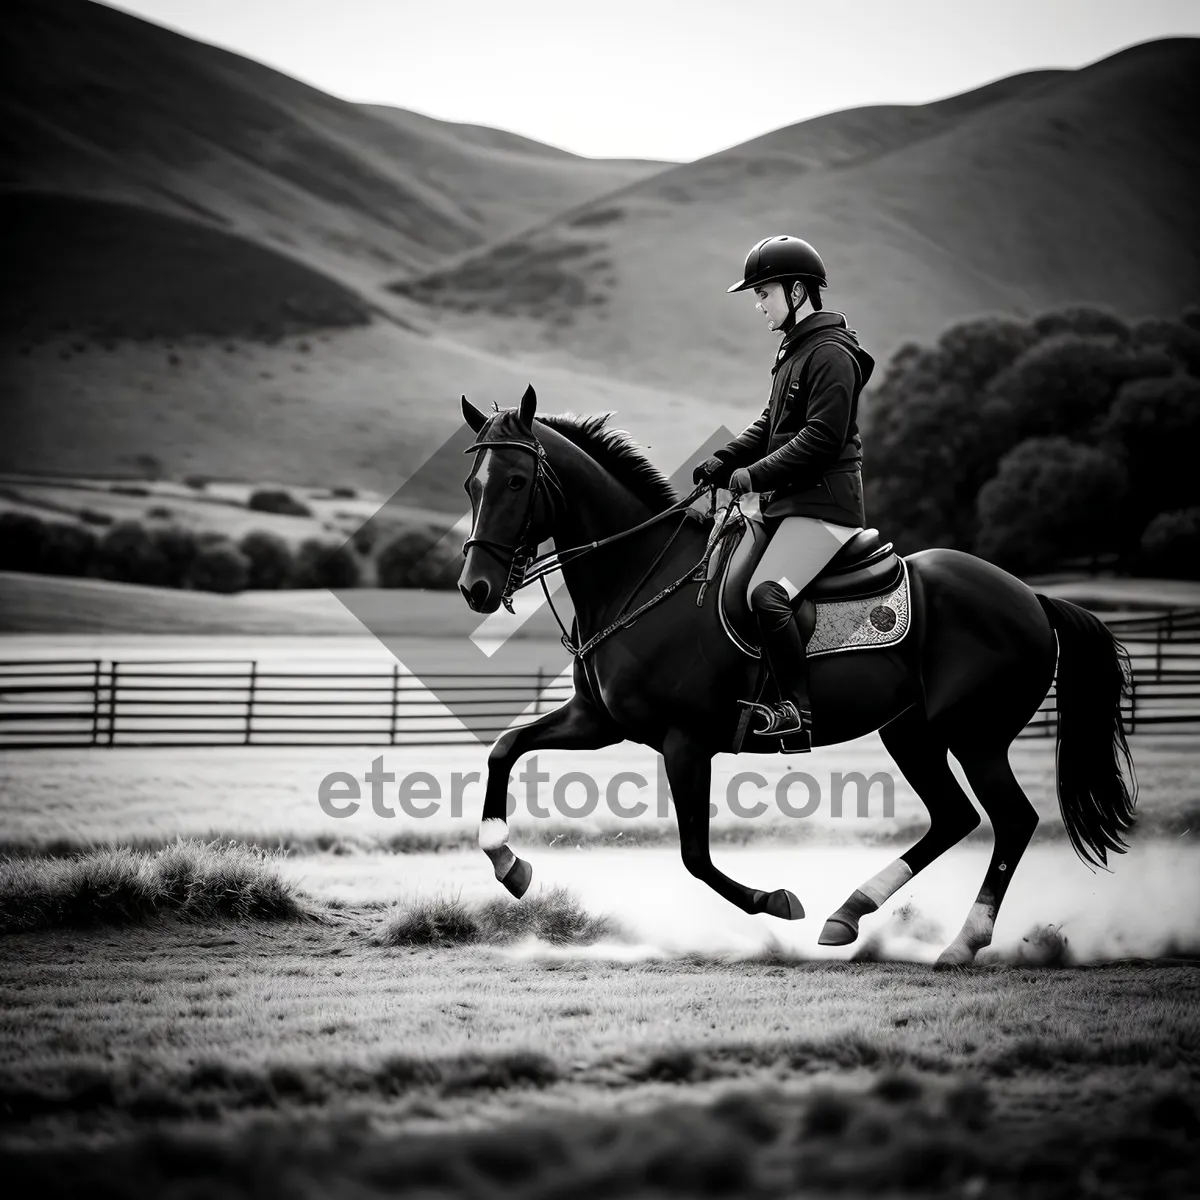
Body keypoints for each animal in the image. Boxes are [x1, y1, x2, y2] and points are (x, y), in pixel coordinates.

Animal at [453, 386, 1137, 964]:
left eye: (516, 480)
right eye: (471, 484)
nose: (475, 589)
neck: (640, 578)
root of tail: (1030, 598)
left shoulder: (684, 740)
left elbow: (695, 855)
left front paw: (773, 902)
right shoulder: (599, 722)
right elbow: (505, 748)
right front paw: (507, 862)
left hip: (975, 735)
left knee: (1012, 821)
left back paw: (961, 942)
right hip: (912, 731)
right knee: (954, 818)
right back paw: (849, 914)